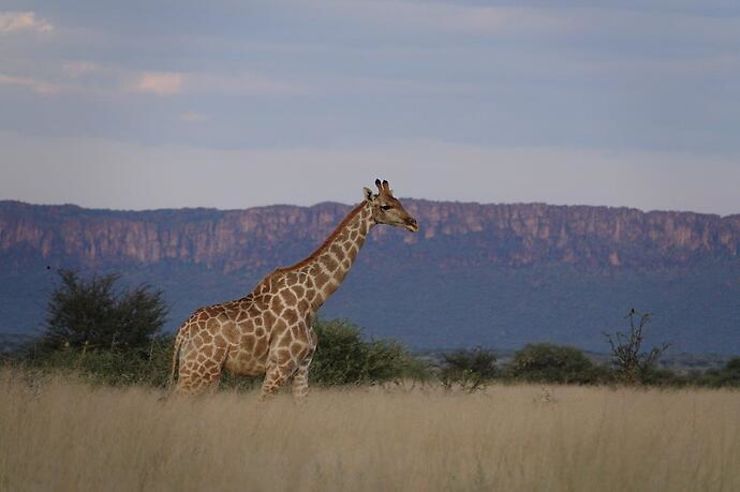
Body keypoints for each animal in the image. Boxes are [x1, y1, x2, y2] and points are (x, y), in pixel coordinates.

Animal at [170, 180, 420, 400]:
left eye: (398, 201)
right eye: (385, 206)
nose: (413, 222)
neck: (312, 299)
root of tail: (182, 332)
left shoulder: (303, 366)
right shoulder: (280, 365)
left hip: (197, 369)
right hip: (201, 369)